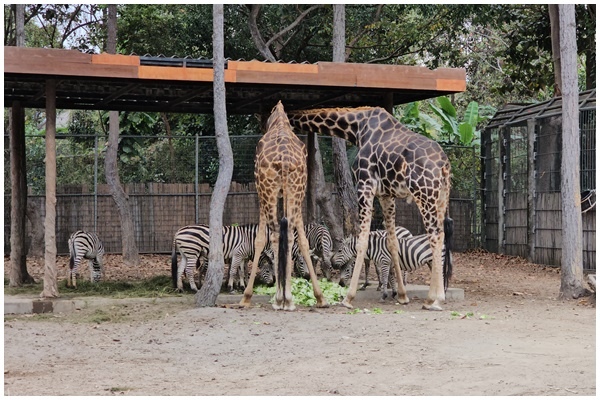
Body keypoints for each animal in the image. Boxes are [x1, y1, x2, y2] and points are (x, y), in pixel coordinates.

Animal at [240, 101, 328, 310]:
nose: (261, 128)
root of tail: (285, 160)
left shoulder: (261, 192)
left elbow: (260, 239)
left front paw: (247, 297)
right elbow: (297, 239)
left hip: (268, 190)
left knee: (275, 233)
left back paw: (281, 299)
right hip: (297, 190)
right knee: (293, 236)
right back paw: (311, 298)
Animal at [288, 107, 452, 312]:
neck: (357, 127)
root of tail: (444, 164)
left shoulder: (365, 184)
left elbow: (361, 241)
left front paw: (348, 298)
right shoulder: (385, 194)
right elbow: (392, 242)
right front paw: (402, 295)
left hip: (424, 193)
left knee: (435, 236)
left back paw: (433, 299)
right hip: (441, 197)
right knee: (441, 235)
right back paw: (437, 297)